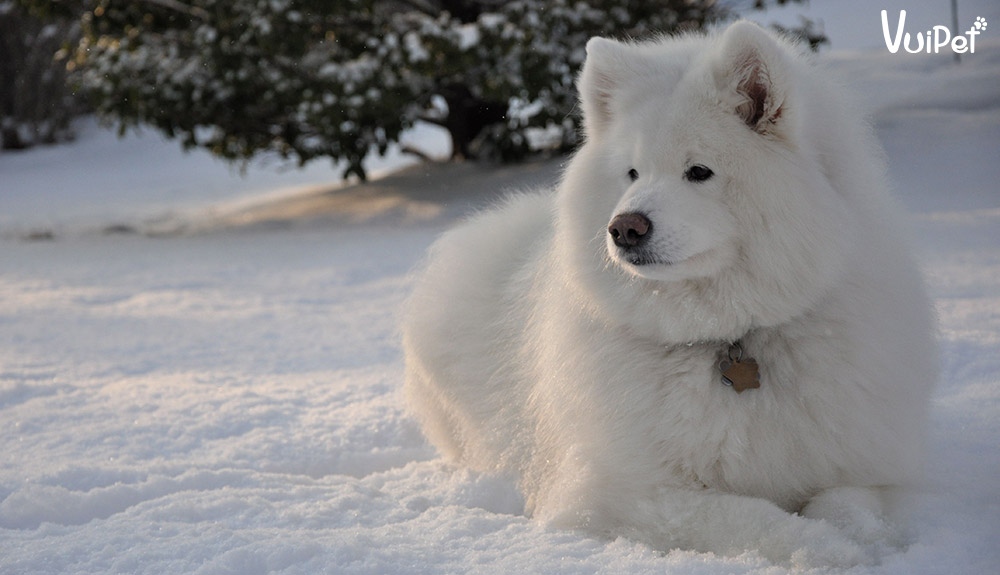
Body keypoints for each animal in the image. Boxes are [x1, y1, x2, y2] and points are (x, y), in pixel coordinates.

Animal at [400, 21, 936, 568]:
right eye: (632, 173)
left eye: (698, 171)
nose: (623, 228)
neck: (728, 338)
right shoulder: (619, 494)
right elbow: (747, 516)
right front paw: (822, 548)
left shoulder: (862, 464)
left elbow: (847, 501)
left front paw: (862, 537)